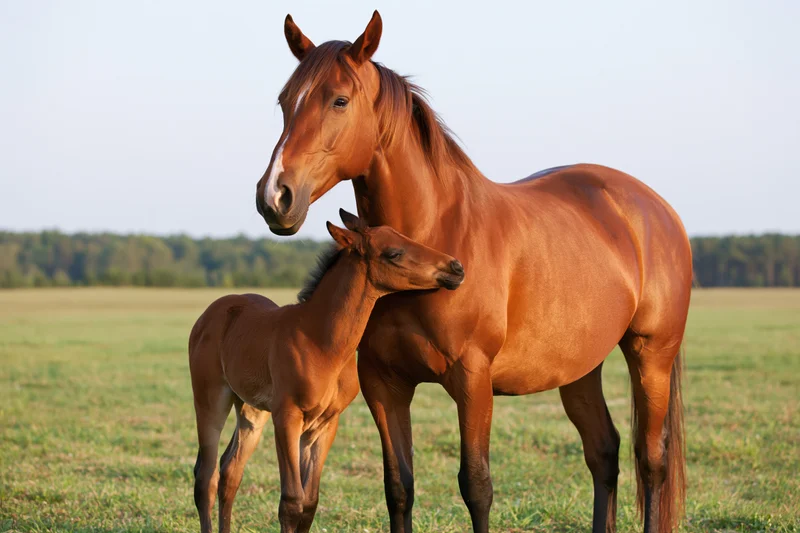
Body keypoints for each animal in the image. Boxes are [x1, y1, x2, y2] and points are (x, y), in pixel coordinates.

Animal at [188, 210, 465, 533]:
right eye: (394, 253)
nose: (456, 268)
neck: (323, 343)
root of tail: (210, 313)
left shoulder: (325, 423)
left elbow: (309, 503)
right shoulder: (287, 418)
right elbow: (291, 502)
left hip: (251, 410)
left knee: (230, 471)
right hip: (210, 400)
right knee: (206, 477)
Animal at [254, 12, 691, 533]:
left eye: (339, 100)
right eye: (284, 102)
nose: (274, 196)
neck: (439, 230)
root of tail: (656, 208)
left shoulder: (473, 381)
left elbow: (477, 486)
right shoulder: (384, 385)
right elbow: (398, 487)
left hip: (651, 356)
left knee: (652, 461)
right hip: (581, 367)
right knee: (603, 451)